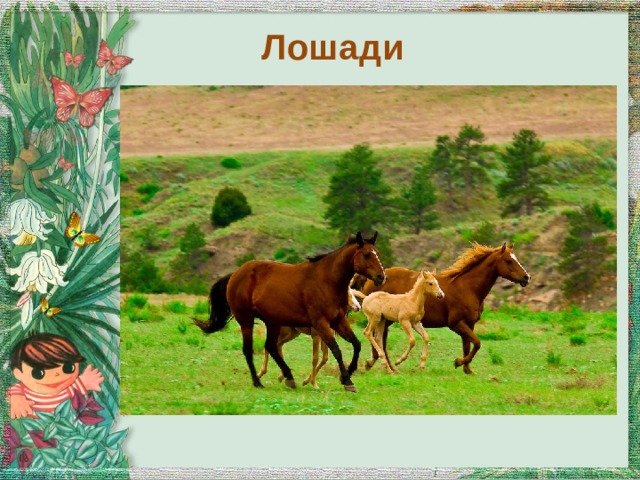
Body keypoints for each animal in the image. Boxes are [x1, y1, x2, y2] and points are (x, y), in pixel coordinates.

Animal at [193, 232, 386, 392]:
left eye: (378, 253)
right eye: (367, 254)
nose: (381, 277)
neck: (326, 281)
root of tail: (235, 274)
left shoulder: (338, 321)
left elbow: (356, 344)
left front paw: (349, 374)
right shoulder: (320, 323)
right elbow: (336, 350)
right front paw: (347, 380)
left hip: (273, 323)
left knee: (271, 347)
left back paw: (289, 377)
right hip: (246, 320)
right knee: (249, 349)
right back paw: (258, 381)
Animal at [358, 242, 530, 374]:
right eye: (508, 260)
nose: (526, 277)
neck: (468, 288)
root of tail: (374, 278)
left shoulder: (469, 324)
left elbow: (468, 345)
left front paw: (467, 369)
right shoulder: (456, 324)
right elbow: (477, 343)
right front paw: (458, 362)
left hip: (385, 319)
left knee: (379, 337)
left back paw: (383, 364)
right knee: (377, 337)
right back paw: (380, 364)